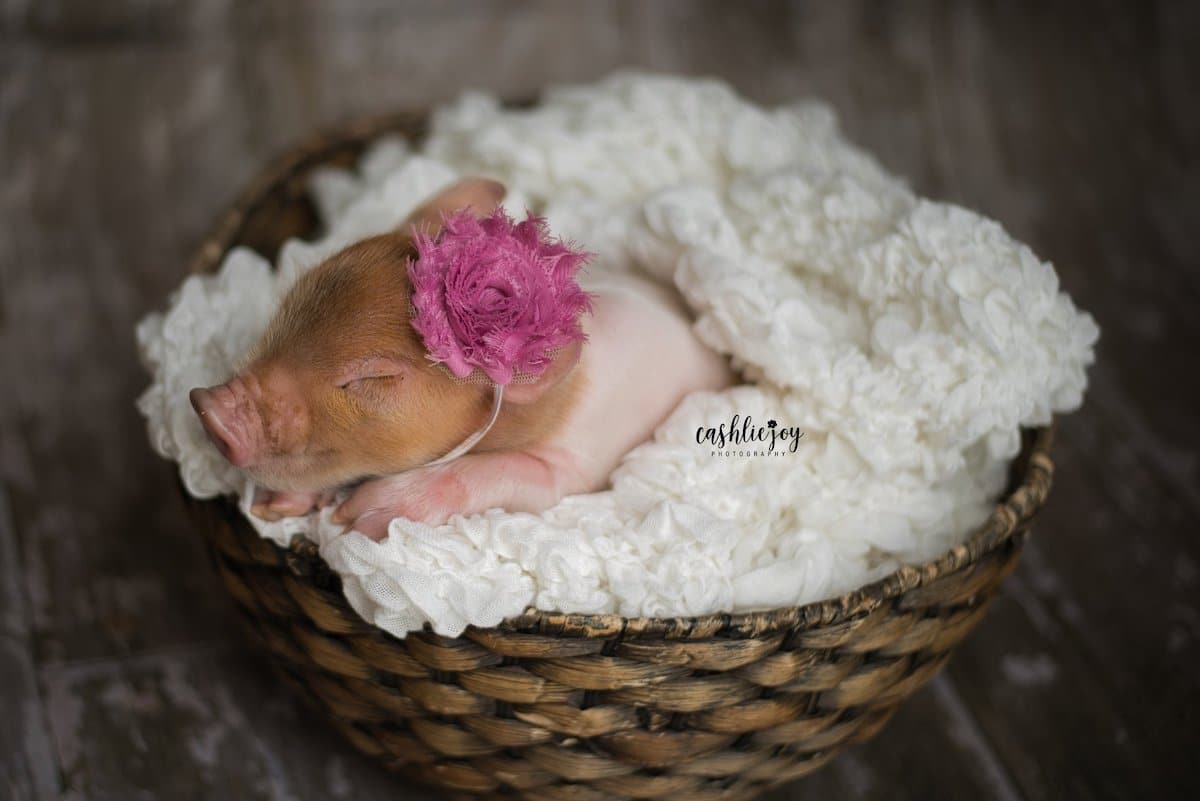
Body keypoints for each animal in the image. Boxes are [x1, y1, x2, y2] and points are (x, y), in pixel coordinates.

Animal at [190, 178, 735, 540]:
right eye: (296, 297)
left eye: (374, 377)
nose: (208, 409)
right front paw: (275, 507)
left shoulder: (570, 471)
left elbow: (501, 475)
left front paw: (356, 520)